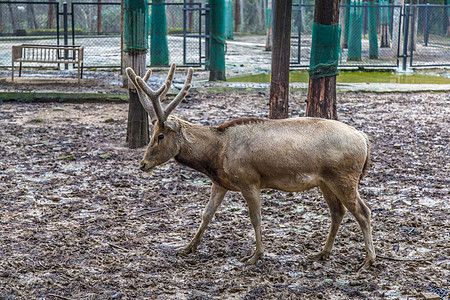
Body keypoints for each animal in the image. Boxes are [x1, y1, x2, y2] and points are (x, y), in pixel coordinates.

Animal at [125, 64, 376, 274]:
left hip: (344, 176)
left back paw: (368, 261)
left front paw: (255, 256)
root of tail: (364, 139)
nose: (143, 164)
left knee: (363, 211)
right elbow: (206, 214)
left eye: (160, 135)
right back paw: (322, 253)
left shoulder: (249, 180)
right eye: (151, 133)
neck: (216, 154)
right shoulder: (219, 183)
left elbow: (255, 218)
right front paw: (187, 247)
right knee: (337, 212)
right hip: (325, 181)